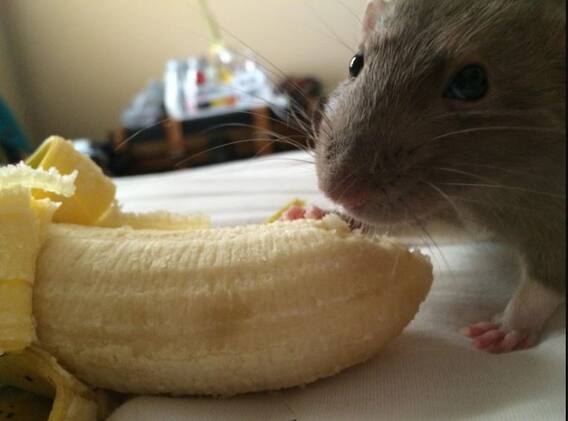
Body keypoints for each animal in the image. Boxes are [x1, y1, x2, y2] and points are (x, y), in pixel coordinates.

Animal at [314, 0, 566, 353]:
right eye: (355, 63)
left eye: (471, 81)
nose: (338, 192)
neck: (487, 190)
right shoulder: (448, 200)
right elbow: (433, 222)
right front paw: (331, 216)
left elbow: (551, 272)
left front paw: (513, 321)